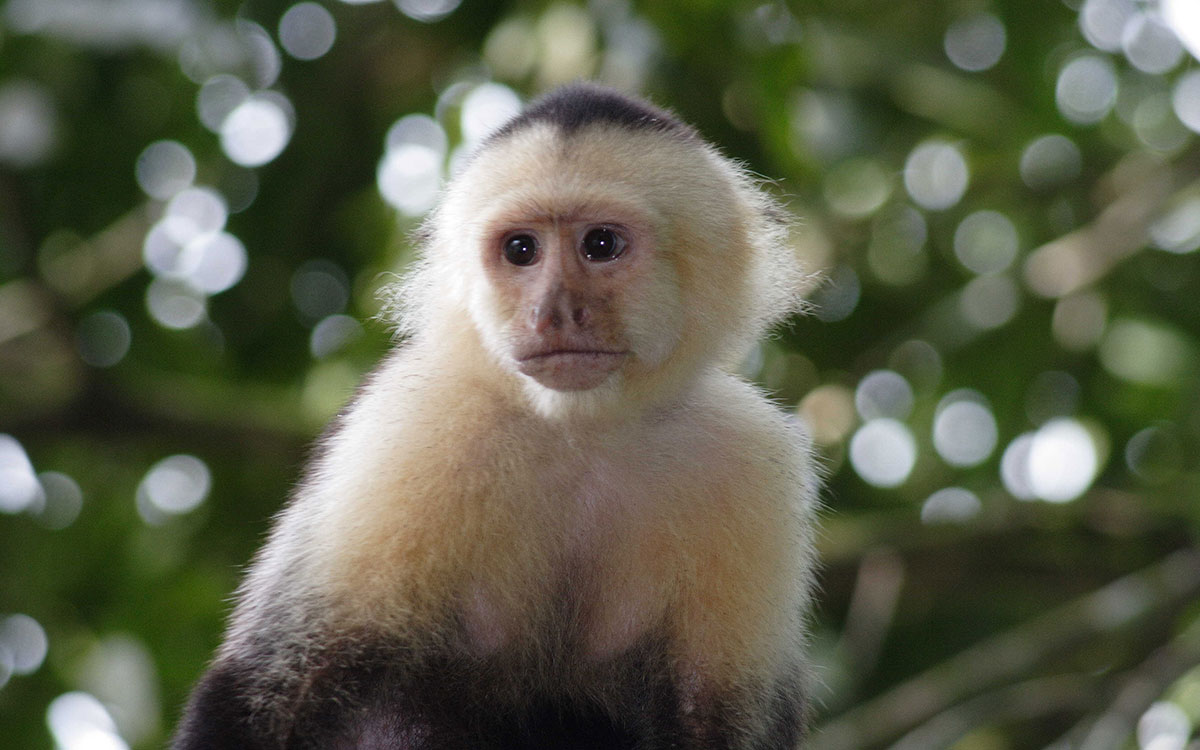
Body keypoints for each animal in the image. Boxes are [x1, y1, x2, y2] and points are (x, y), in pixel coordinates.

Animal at [174, 83, 820, 748]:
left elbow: (713, 718)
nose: (552, 311)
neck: (580, 431)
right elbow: (271, 693)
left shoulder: (750, 459)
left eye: (601, 244)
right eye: (520, 250)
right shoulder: (408, 423)